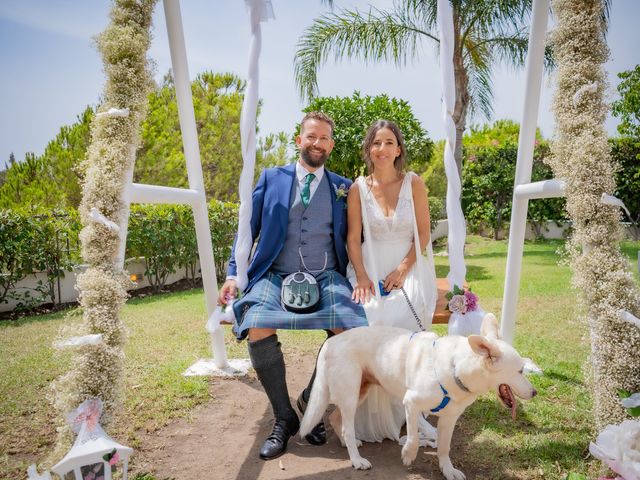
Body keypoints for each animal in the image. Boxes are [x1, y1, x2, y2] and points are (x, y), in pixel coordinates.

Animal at [300, 314, 536, 478]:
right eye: (520, 371)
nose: (535, 392)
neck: (455, 367)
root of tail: (331, 341)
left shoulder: (449, 419)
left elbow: (444, 447)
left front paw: (448, 470)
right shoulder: (411, 404)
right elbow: (413, 437)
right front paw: (408, 455)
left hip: (360, 392)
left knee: (335, 418)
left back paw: (348, 447)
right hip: (351, 395)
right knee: (346, 428)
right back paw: (357, 460)